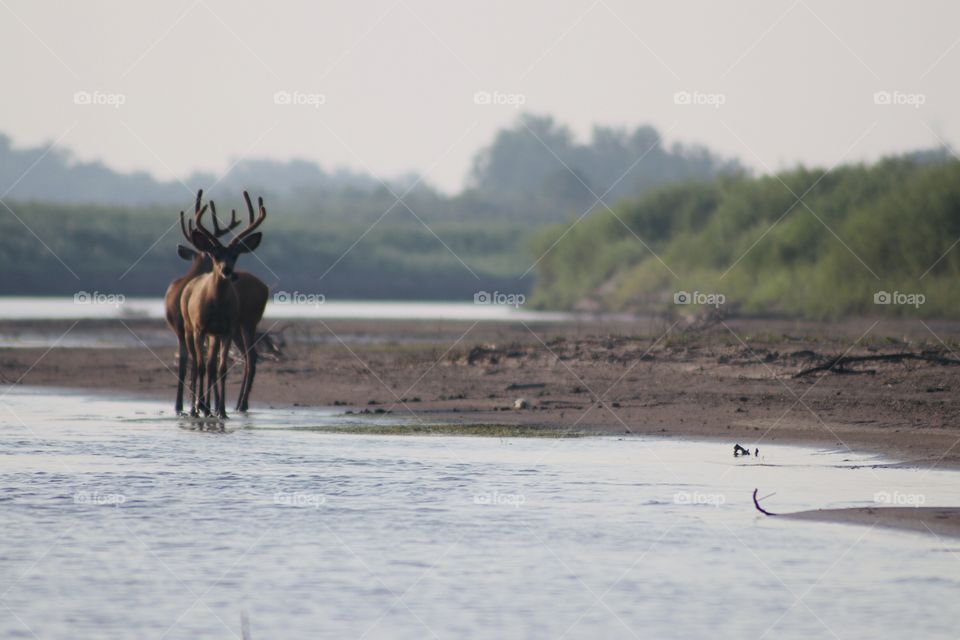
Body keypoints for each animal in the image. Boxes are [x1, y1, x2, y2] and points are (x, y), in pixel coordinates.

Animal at [165, 190, 270, 412]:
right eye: (214, 254)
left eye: (236, 254)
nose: (228, 271)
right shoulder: (199, 328)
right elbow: (201, 365)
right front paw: (197, 407)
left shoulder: (225, 329)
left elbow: (220, 367)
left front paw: (219, 410)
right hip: (203, 329)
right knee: (210, 362)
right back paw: (223, 405)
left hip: (246, 322)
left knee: (248, 357)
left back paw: (236, 404)